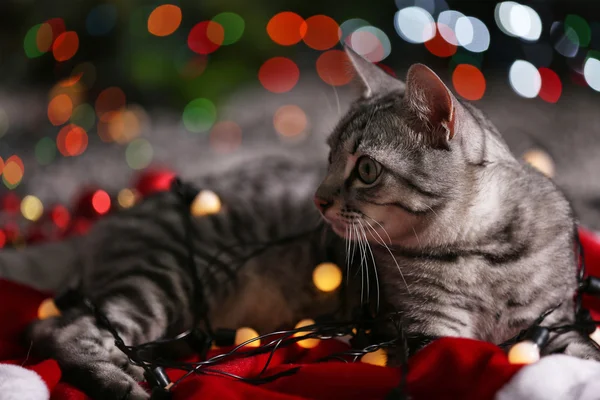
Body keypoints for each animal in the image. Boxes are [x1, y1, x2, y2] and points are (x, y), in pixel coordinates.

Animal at [1, 47, 596, 400]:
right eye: (329, 156)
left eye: (366, 169)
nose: (318, 199)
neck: (483, 250)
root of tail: (110, 219)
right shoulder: (427, 333)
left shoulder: (556, 321)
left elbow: (583, 349)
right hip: (165, 277)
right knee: (58, 329)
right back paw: (122, 382)